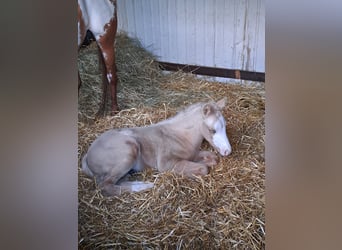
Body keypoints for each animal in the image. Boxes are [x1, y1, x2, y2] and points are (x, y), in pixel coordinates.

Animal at [82, 98, 234, 196]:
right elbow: (204, 169)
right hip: (129, 151)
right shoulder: (167, 163)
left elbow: (212, 158)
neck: (180, 136)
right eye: (212, 130)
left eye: (225, 126)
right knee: (105, 186)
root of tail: (87, 155)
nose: (227, 151)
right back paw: (145, 186)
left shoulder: (193, 154)